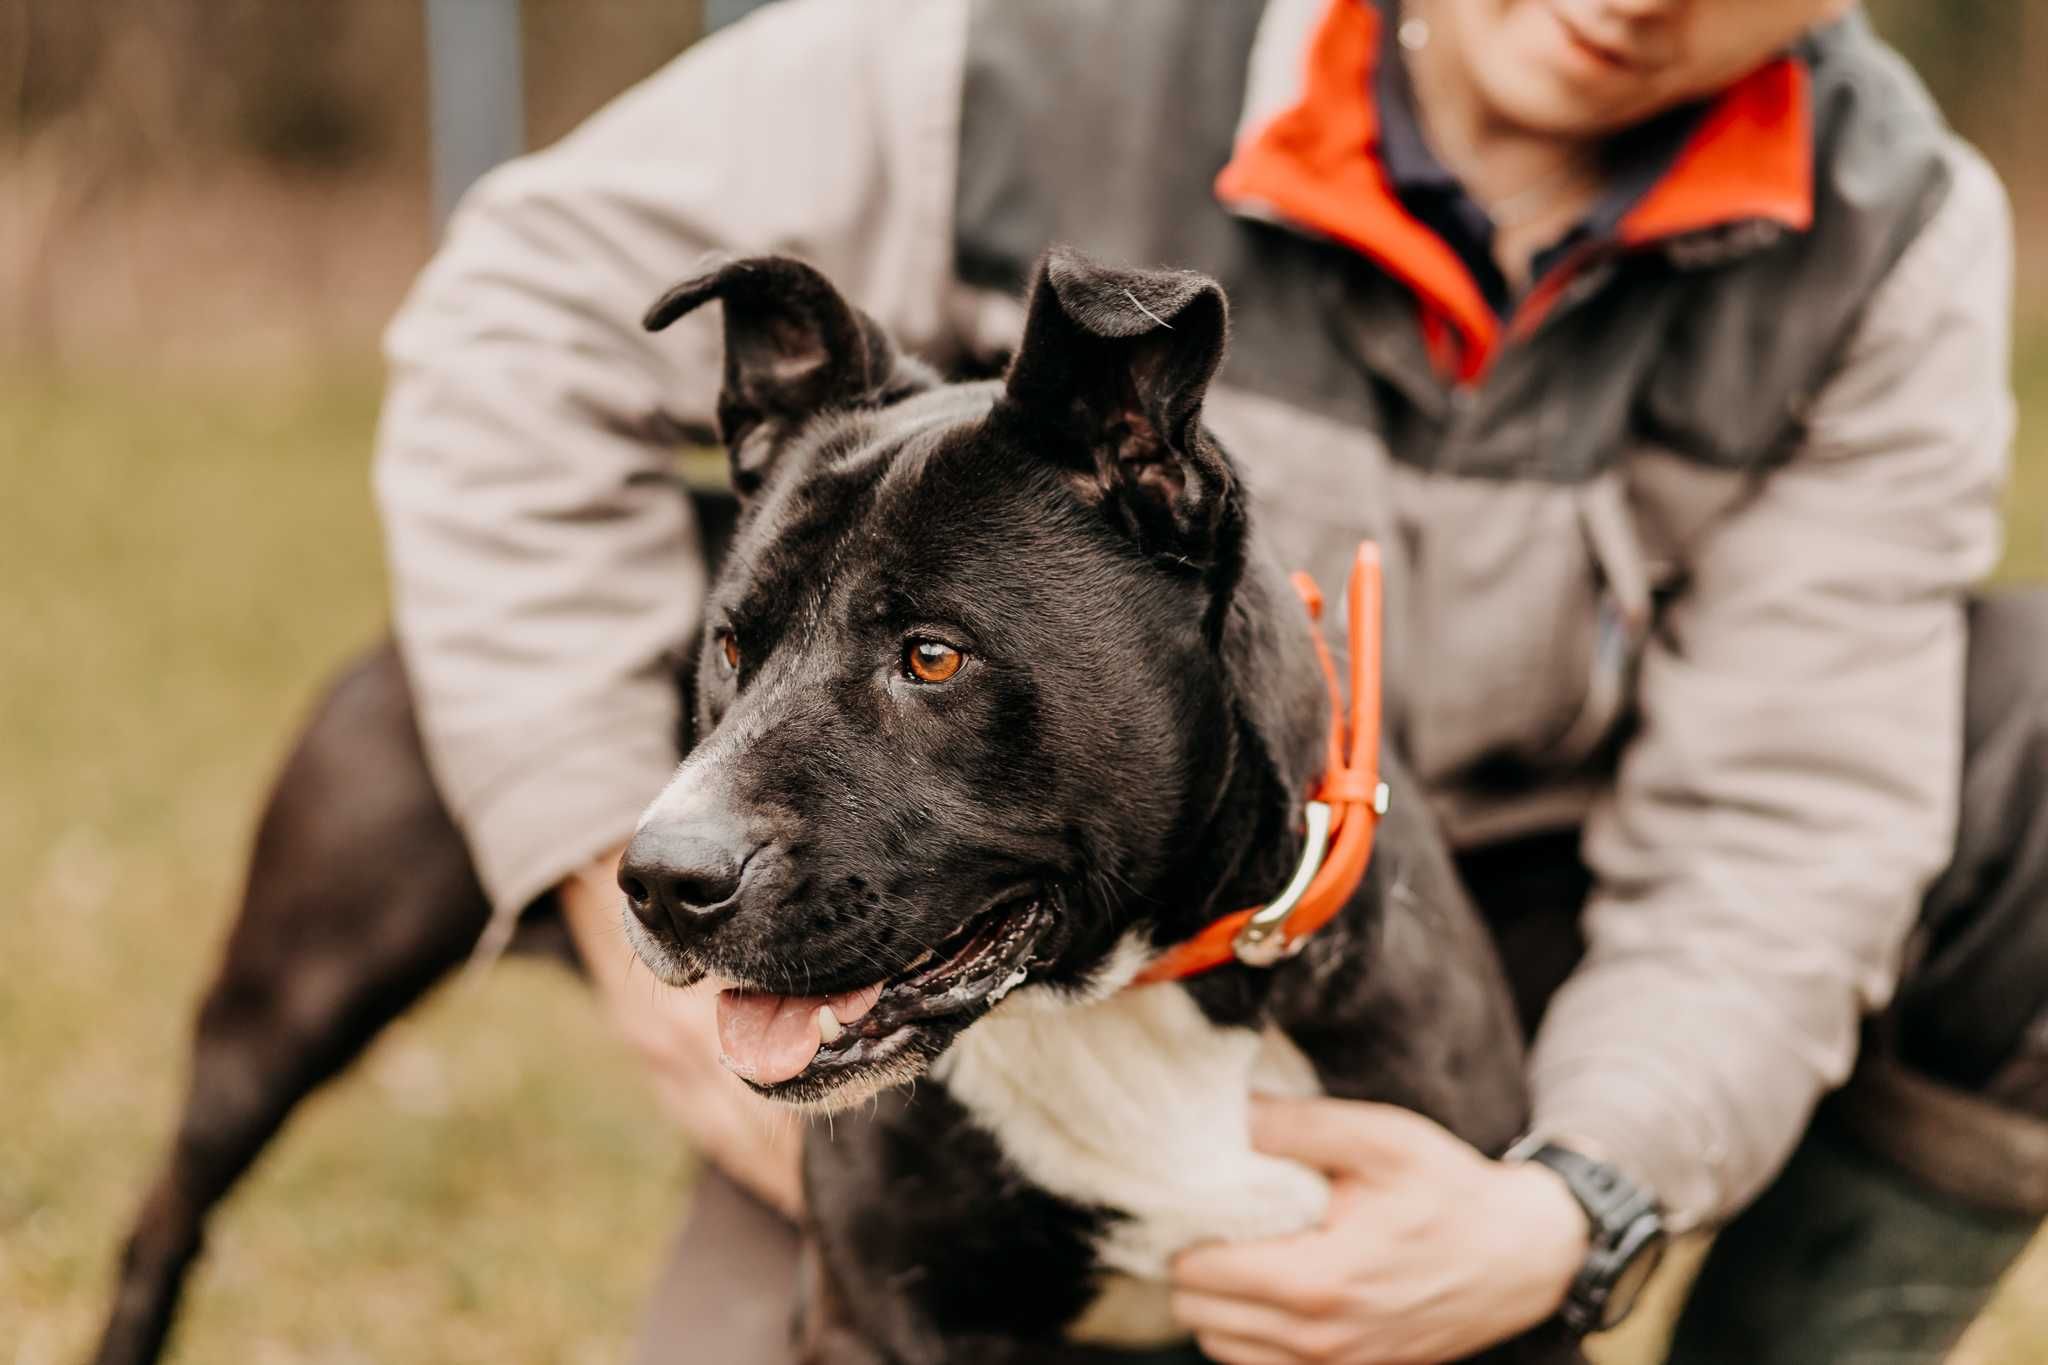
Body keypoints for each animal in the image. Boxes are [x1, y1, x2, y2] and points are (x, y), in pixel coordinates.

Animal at [96, 250, 1564, 1358]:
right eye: (728, 645)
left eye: (933, 656)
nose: (661, 880)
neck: (1136, 1005)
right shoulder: (885, 1318)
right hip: (280, 1004)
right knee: (165, 1217)